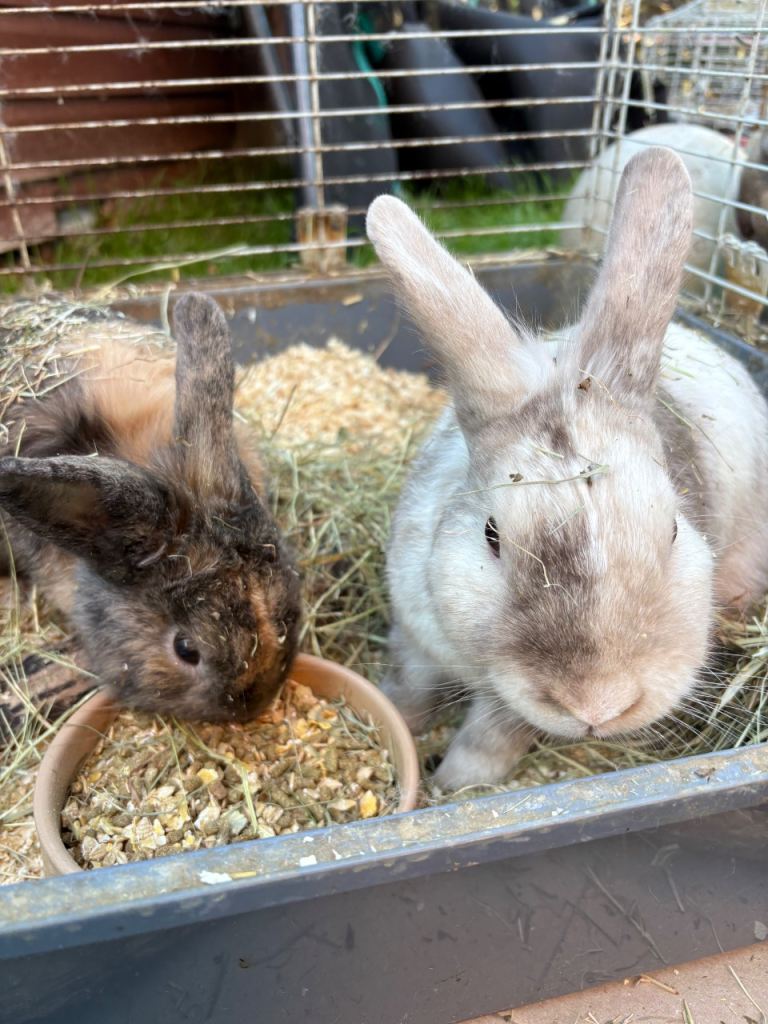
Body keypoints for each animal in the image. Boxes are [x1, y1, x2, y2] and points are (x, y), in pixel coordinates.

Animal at [366, 147, 768, 790]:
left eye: (674, 530)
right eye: (491, 536)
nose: (597, 703)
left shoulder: (506, 708)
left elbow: (489, 741)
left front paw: (451, 786)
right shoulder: (413, 634)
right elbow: (405, 690)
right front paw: (398, 731)